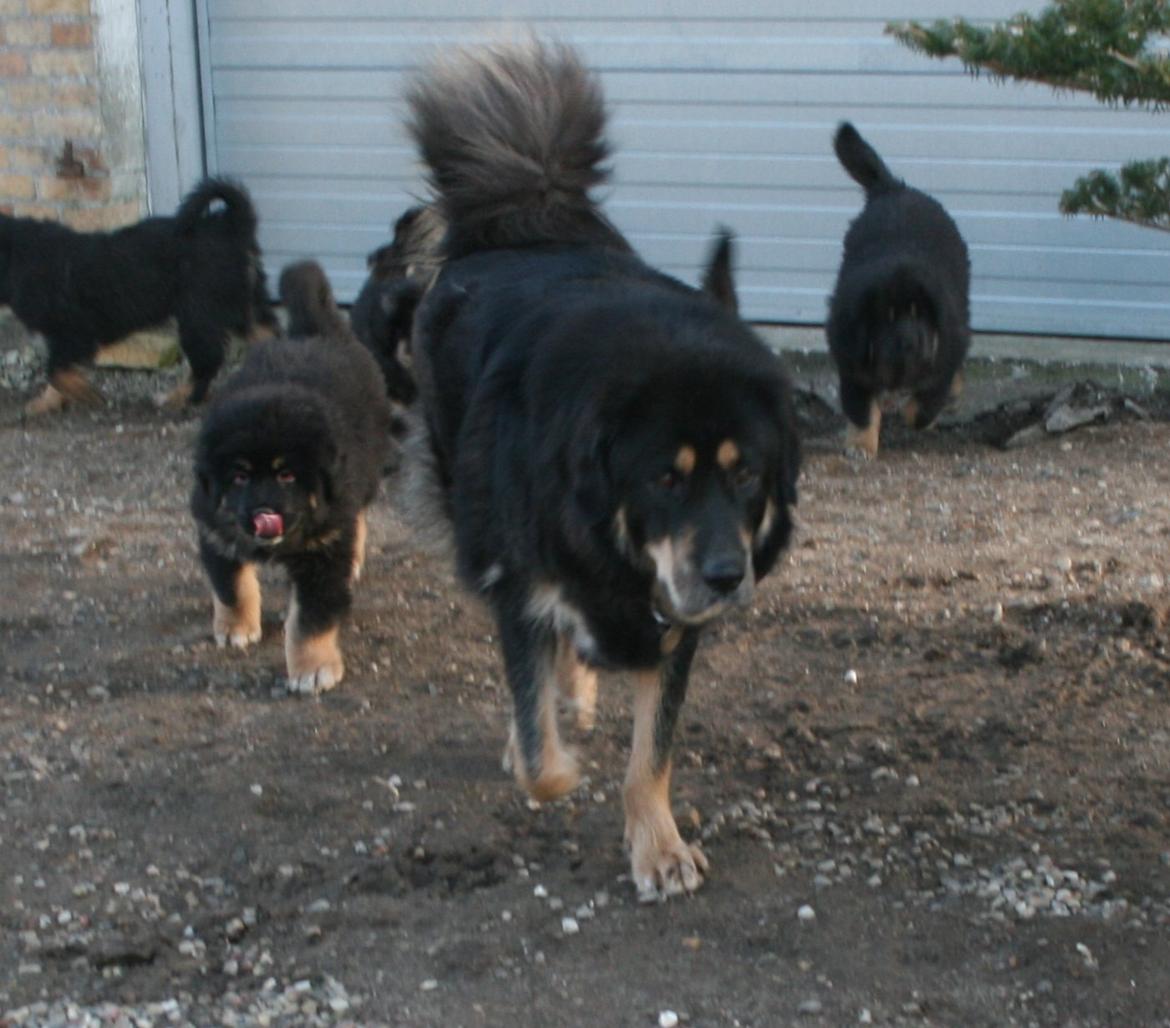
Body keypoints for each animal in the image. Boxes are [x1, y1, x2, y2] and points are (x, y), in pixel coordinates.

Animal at [0, 176, 278, 414]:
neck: (16, 255)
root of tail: (229, 226)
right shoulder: (60, 336)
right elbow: (55, 372)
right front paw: (47, 402)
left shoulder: (74, 332)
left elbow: (54, 370)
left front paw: (87, 394)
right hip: (242, 303)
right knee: (268, 335)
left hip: (198, 314)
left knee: (208, 361)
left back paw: (179, 398)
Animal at [191, 257, 393, 697]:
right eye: (239, 477)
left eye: (287, 475)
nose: (263, 511)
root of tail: (312, 331)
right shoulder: (215, 528)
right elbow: (230, 586)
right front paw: (236, 626)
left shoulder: (325, 553)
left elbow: (310, 620)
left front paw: (313, 669)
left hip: (363, 474)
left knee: (358, 519)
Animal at [407, 38, 800, 898]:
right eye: (665, 478)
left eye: (747, 474)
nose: (728, 576)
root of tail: (528, 216)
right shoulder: (517, 582)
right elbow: (543, 760)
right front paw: (545, 752)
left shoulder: (673, 624)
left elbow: (649, 758)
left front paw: (658, 847)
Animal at [828, 121, 973, 458]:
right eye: (888, 317)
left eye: (920, 315)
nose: (911, 341)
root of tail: (894, 188)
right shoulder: (851, 359)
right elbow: (861, 408)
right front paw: (861, 444)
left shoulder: (944, 350)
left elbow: (927, 401)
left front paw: (917, 414)